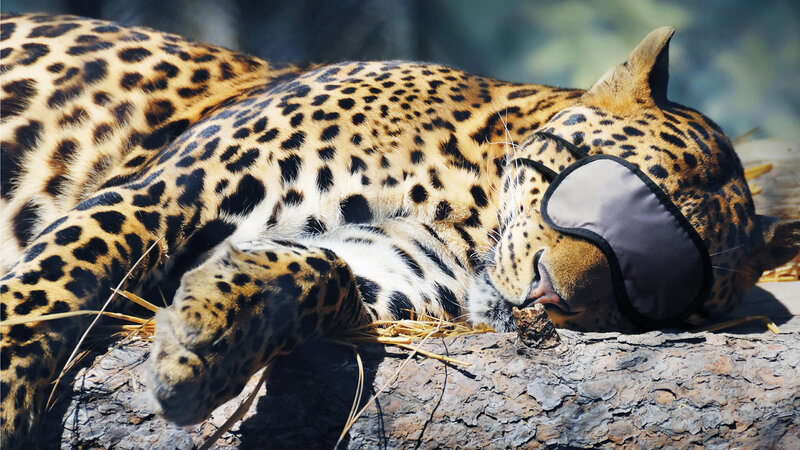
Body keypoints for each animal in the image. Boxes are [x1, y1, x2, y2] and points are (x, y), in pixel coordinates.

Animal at [1, 13, 798, 448]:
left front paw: (206, 338)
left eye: (649, 292)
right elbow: (47, 291)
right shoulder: (168, 192)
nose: (552, 297)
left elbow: (314, 269)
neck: (464, 200)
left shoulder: (390, 267)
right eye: (598, 189)